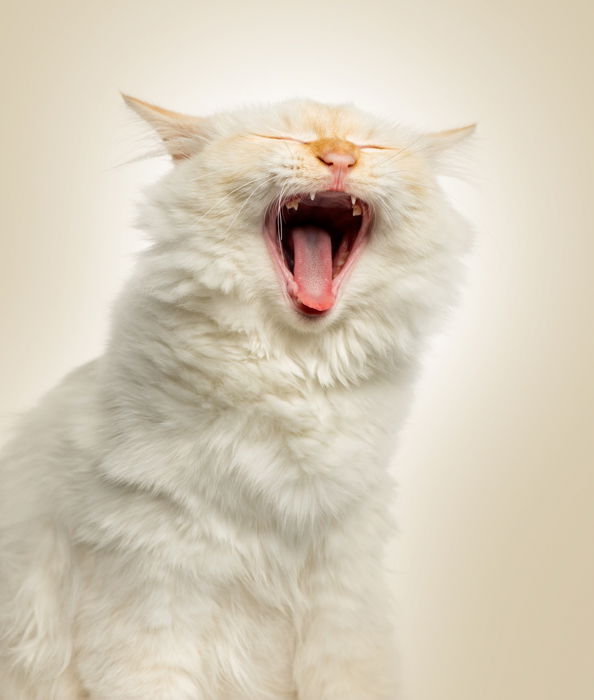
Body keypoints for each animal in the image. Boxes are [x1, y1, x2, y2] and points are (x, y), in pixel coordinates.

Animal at [0, 95, 472, 696]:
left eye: (372, 147)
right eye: (281, 138)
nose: (339, 157)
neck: (292, 374)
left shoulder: (340, 605)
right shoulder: (146, 599)